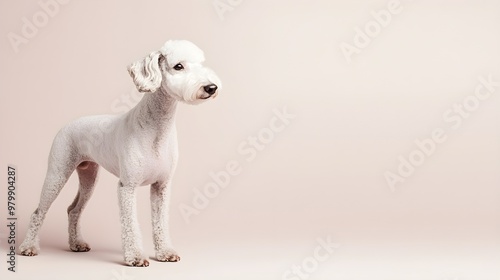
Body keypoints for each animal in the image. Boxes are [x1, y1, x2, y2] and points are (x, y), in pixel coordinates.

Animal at [18, 39, 221, 266]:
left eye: (201, 63)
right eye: (178, 66)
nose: (211, 87)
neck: (156, 128)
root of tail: (68, 125)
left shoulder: (161, 186)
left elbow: (160, 222)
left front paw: (165, 252)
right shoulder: (127, 186)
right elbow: (130, 224)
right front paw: (135, 257)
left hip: (89, 177)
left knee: (73, 210)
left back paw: (76, 244)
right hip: (57, 173)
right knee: (38, 212)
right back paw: (28, 247)